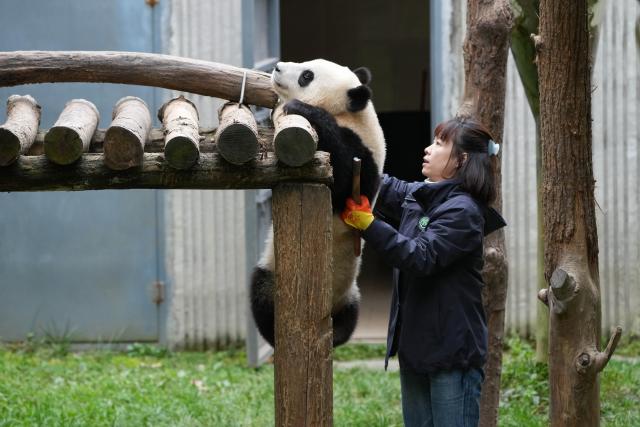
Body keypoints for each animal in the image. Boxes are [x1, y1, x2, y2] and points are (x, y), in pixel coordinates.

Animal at [250, 59, 386, 347]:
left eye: (306, 76)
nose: (277, 67)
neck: (351, 115)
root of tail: (331, 309)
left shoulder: (364, 156)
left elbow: (344, 182)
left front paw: (298, 108)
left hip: (347, 291)